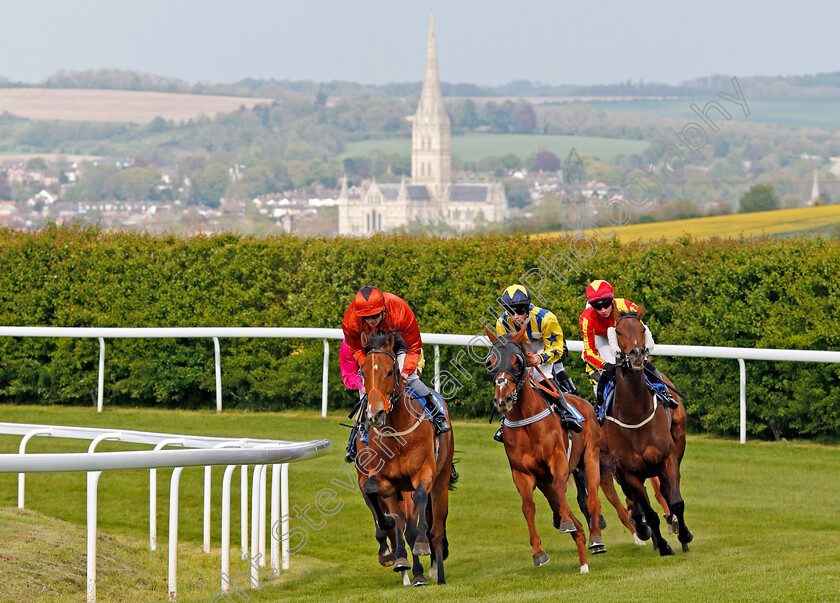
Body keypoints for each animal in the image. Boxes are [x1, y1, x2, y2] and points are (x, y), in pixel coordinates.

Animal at [354, 330, 460, 584]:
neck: (396, 432)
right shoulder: (383, 480)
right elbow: (378, 501)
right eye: (363, 372)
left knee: (436, 528)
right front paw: (392, 551)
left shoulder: (423, 471)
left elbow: (420, 500)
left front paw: (421, 546)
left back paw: (436, 571)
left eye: (390, 372)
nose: (375, 414)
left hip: (441, 481)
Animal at [486, 326, 604, 572]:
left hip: (590, 457)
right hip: (544, 483)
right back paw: (583, 560)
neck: (526, 420)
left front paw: (566, 523)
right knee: (569, 514)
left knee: (592, 498)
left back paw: (596, 539)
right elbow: (528, 507)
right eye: (490, 362)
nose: (503, 400)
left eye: (518, 361)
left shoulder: (557, 459)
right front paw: (538, 552)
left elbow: (562, 486)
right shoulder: (522, 472)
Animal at [604, 306, 696, 556]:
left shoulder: (668, 458)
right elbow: (649, 513)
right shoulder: (629, 472)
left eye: (642, 329)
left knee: (667, 491)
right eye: (618, 331)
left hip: (677, 444)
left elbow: (676, 501)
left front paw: (684, 534)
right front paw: (663, 545)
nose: (637, 354)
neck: (636, 415)